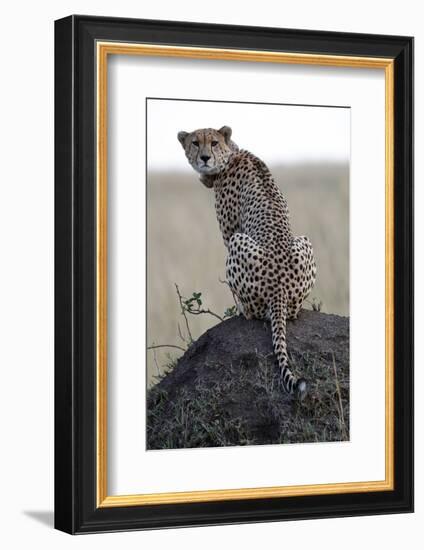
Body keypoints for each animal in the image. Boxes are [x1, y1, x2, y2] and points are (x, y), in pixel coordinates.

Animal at [177, 127, 316, 398]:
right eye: (195, 142)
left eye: (214, 143)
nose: (205, 158)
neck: (230, 154)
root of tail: (280, 289)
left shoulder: (230, 231)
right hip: (305, 241)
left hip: (238, 242)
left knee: (254, 312)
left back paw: (241, 309)